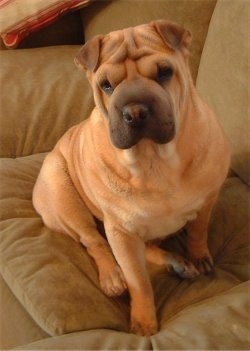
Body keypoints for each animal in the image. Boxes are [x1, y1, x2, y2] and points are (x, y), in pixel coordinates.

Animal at [33, 20, 230, 338]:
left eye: (164, 72)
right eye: (106, 85)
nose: (135, 110)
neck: (155, 161)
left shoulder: (208, 199)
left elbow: (198, 231)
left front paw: (198, 256)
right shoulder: (121, 233)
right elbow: (139, 281)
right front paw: (144, 322)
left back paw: (178, 263)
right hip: (64, 197)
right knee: (94, 242)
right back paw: (113, 276)